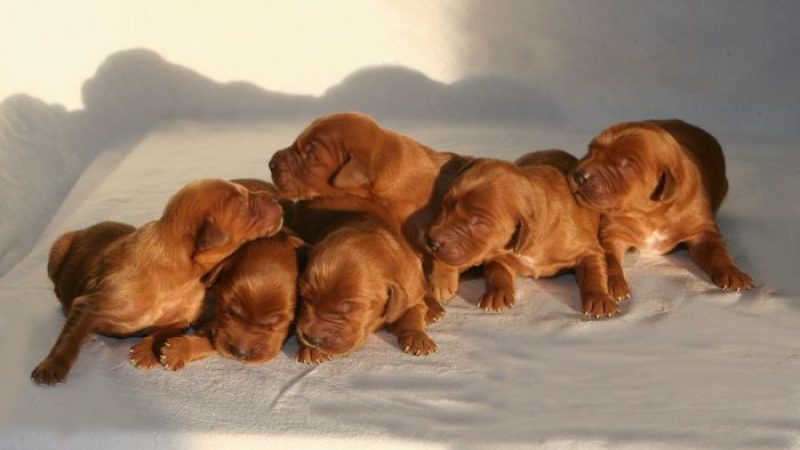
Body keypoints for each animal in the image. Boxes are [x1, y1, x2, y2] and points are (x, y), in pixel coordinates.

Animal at [32, 179, 286, 384]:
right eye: (244, 203)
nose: (276, 199)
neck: (185, 275)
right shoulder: (90, 303)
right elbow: (69, 337)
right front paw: (52, 366)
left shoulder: (182, 316)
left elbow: (166, 330)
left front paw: (146, 351)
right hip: (60, 246)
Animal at [290, 196, 438, 362]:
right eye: (303, 296)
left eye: (349, 309)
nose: (311, 339)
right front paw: (311, 349)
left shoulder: (410, 290)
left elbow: (413, 314)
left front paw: (418, 338)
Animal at [424, 150, 620, 316]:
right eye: (445, 205)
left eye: (476, 222)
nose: (431, 241)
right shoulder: (492, 253)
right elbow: (496, 271)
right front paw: (495, 293)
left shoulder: (589, 249)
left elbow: (594, 272)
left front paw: (599, 299)